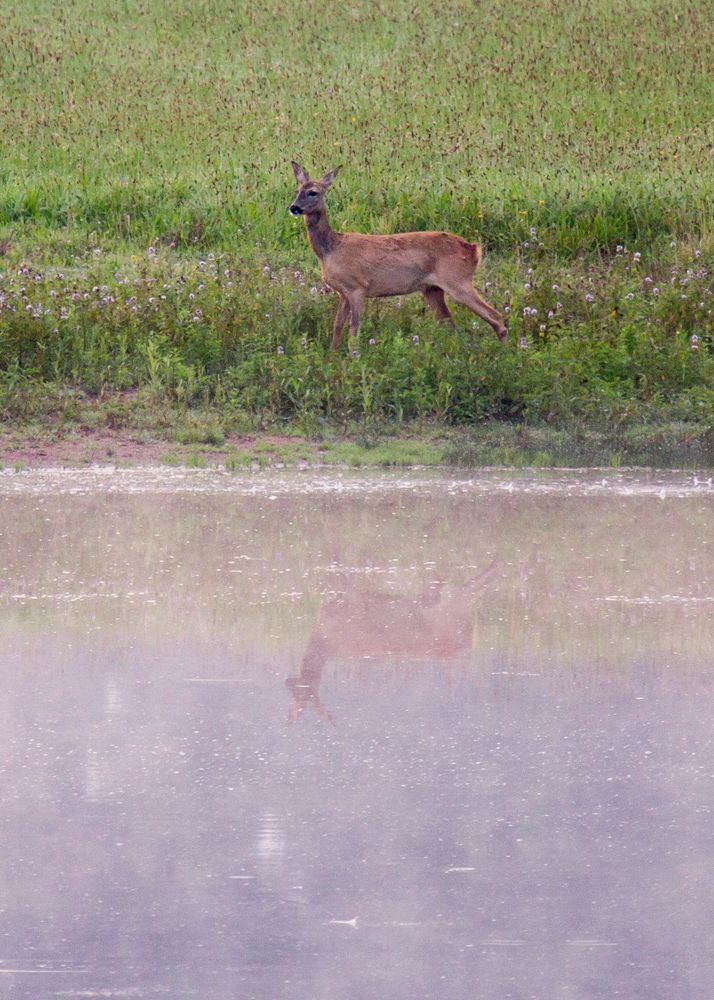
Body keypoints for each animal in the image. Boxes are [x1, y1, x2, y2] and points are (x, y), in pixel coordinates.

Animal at [286, 162, 504, 350]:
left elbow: (354, 329)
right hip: (432, 289)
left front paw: (354, 359)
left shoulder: (357, 287)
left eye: (313, 192)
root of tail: (474, 249)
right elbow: (337, 327)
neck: (331, 249)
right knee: (450, 323)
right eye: (297, 191)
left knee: (497, 317)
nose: (294, 207)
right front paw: (332, 358)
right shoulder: (343, 292)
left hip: (458, 281)